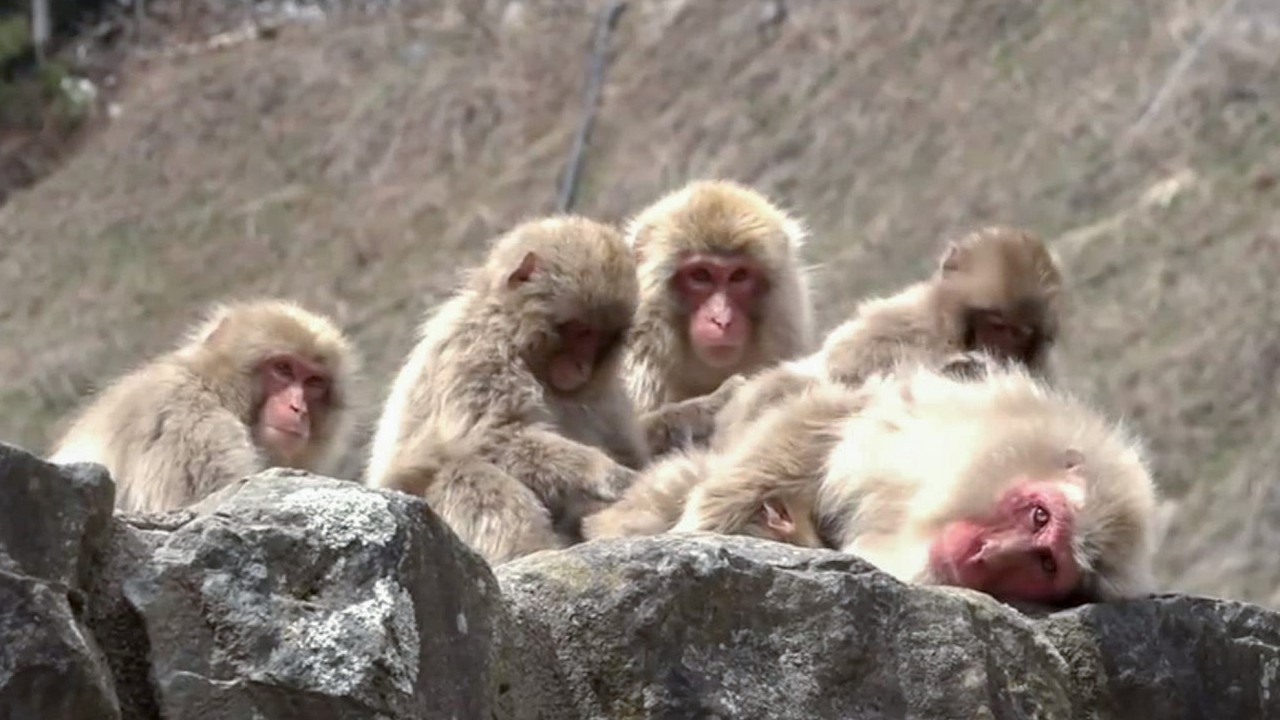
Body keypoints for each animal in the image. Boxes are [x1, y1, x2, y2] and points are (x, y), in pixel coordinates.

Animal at [364, 215, 649, 565]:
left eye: (602, 338)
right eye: (581, 331)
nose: (582, 366)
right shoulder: (479, 351)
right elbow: (493, 436)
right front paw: (606, 474)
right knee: (467, 469)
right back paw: (530, 550)